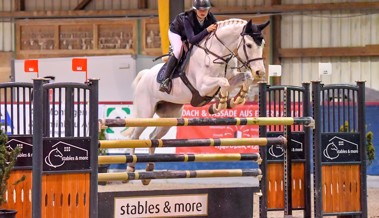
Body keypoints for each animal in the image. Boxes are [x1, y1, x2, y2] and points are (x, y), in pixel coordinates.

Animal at [126, 18, 268, 185]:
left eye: (262, 44)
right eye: (249, 45)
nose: (260, 72)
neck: (218, 54)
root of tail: (145, 74)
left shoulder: (230, 79)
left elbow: (245, 77)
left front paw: (236, 100)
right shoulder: (203, 86)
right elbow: (224, 82)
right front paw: (219, 105)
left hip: (169, 116)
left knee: (153, 137)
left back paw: (148, 171)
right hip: (145, 114)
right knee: (134, 136)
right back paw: (130, 167)